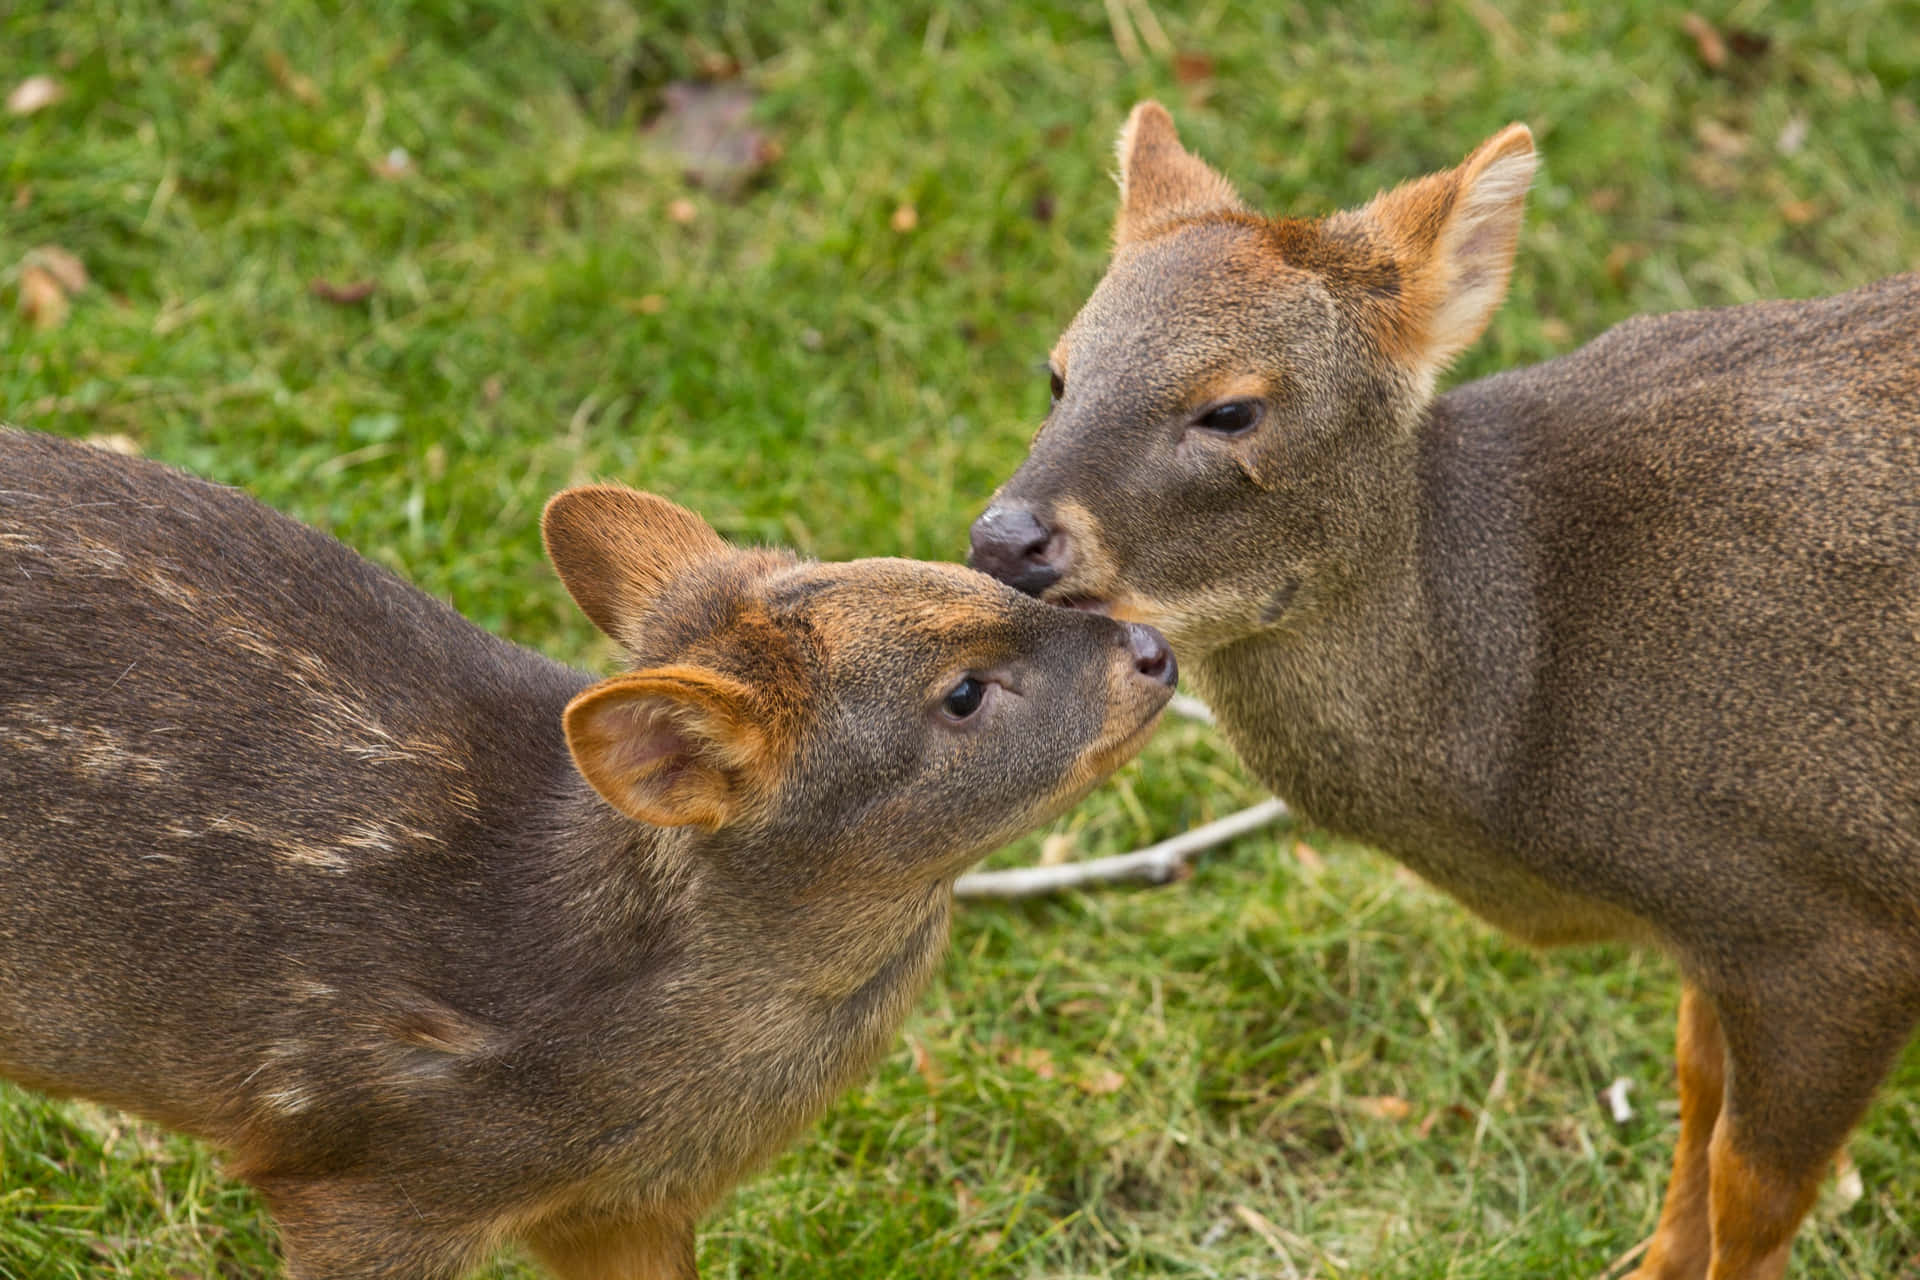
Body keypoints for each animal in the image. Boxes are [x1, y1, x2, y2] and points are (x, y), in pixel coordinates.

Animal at [975, 105, 1920, 1274]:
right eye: (1059, 373)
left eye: (1231, 409)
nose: (1004, 539)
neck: (1530, 697)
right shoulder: (1722, 920)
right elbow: (1695, 1100)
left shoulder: (1839, 919)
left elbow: (1753, 1187)